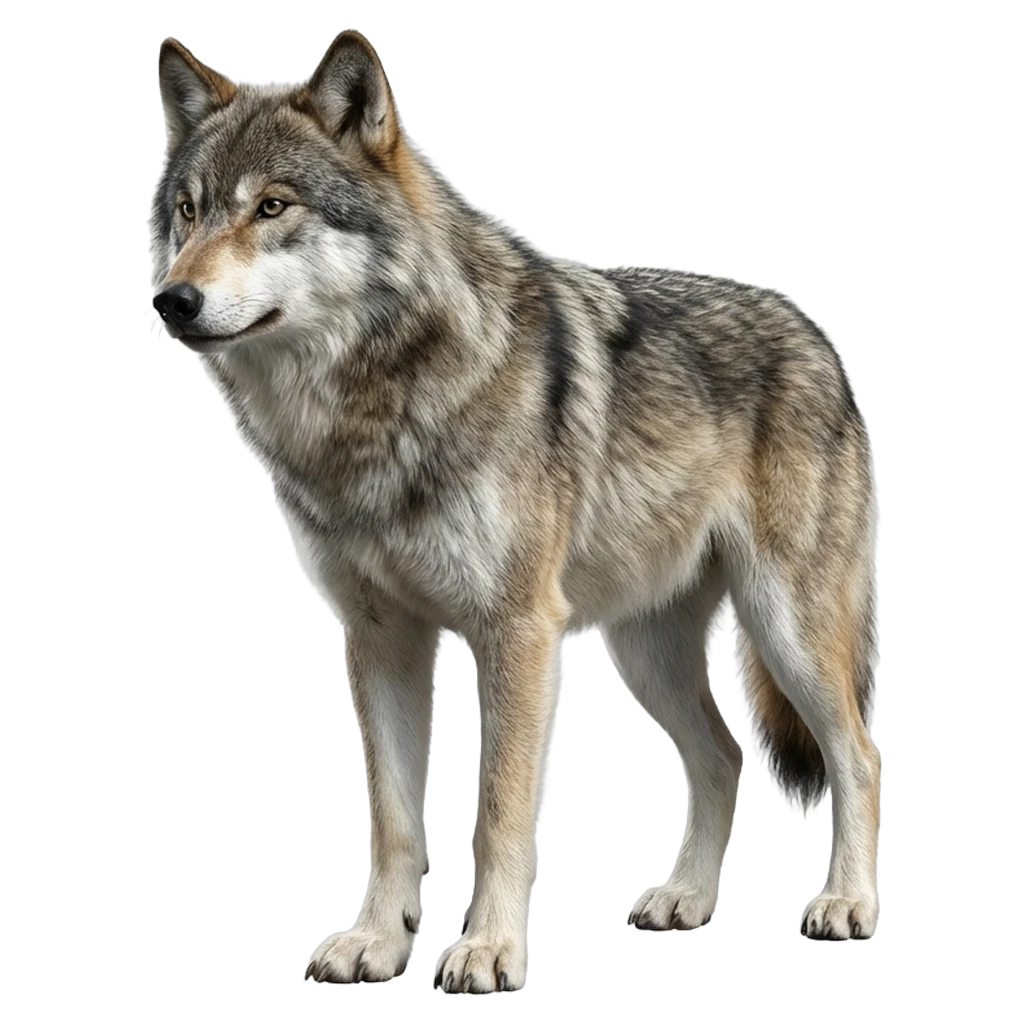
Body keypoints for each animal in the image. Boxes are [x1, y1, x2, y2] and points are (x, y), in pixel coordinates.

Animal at [149, 31, 882, 993]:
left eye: (272, 206)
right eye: (186, 212)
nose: (172, 300)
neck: (371, 413)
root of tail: (813, 331)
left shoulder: (518, 633)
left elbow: (497, 809)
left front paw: (489, 951)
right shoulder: (380, 637)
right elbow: (394, 820)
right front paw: (377, 943)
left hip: (785, 629)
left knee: (858, 757)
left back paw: (849, 906)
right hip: (643, 652)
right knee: (722, 758)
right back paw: (685, 900)